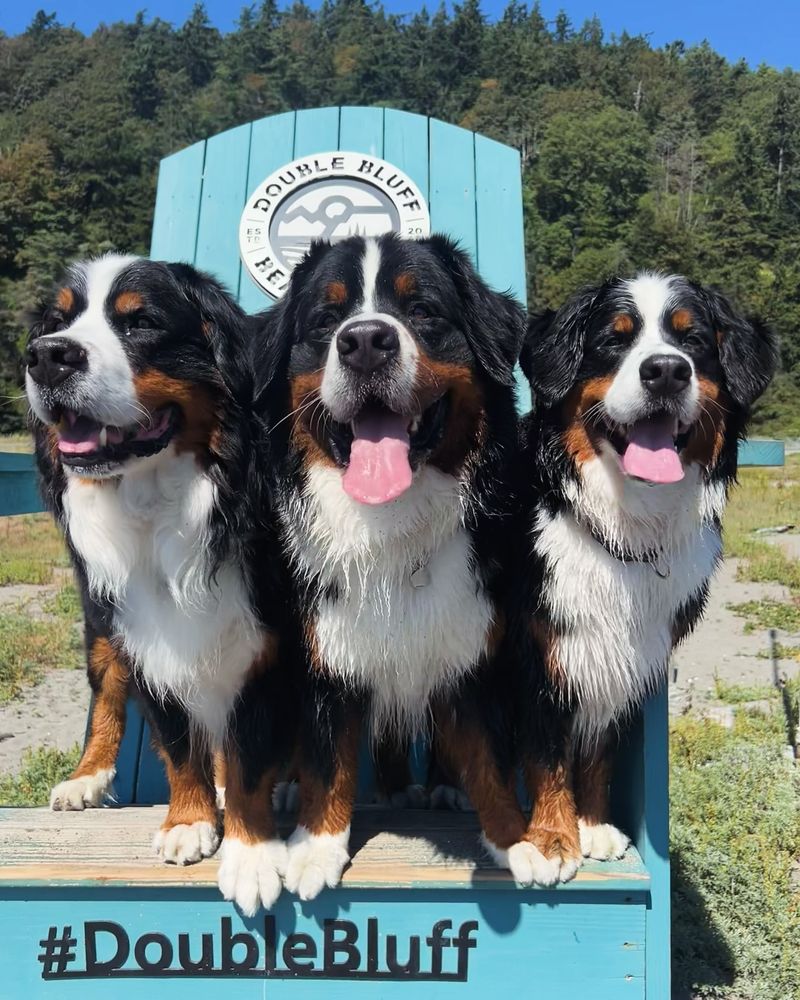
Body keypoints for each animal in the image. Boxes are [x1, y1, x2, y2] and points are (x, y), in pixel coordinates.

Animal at [27, 258, 300, 916]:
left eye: (142, 322)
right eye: (56, 322)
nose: (46, 357)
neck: (162, 506)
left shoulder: (269, 645)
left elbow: (251, 753)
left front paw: (251, 852)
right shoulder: (148, 640)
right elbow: (177, 742)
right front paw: (188, 821)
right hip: (102, 621)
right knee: (106, 697)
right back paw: (87, 777)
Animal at [256, 232, 532, 900]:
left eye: (423, 311)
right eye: (325, 320)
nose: (363, 342)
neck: (392, 525)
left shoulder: (474, 651)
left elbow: (488, 757)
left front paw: (520, 842)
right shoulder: (328, 657)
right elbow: (329, 761)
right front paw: (316, 850)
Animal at [510, 270, 780, 872]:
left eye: (693, 340)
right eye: (615, 339)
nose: (666, 370)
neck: (626, 523)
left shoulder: (629, 652)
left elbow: (600, 749)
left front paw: (594, 826)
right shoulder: (541, 653)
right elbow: (546, 754)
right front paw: (553, 839)